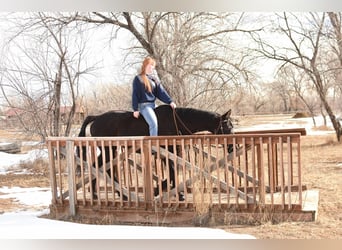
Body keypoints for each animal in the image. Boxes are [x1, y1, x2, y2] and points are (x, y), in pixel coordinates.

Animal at [76, 104, 234, 200]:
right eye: (228, 126)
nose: (232, 147)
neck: (176, 122)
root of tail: (96, 118)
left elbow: (172, 171)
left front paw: (162, 189)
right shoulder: (167, 152)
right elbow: (172, 171)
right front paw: (175, 193)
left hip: (111, 149)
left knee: (99, 167)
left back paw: (110, 194)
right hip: (108, 149)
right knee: (101, 168)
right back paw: (114, 194)